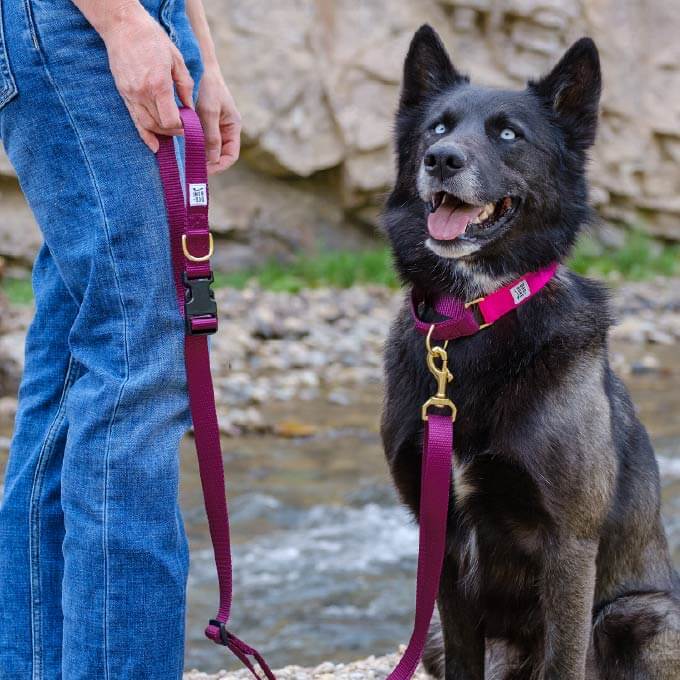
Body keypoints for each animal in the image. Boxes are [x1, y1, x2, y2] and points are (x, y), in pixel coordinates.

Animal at [382, 23, 680, 676]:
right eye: (437, 128)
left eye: (508, 134)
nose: (441, 160)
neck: (473, 314)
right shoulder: (441, 545)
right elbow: (464, 660)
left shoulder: (568, 544)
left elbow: (563, 659)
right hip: (433, 636)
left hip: (638, 616)